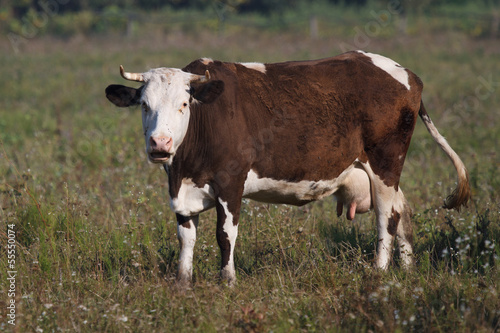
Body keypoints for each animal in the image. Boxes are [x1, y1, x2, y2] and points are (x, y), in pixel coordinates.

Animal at [104, 50, 468, 284]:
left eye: (184, 104)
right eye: (144, 105)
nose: (160, 144)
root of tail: (405, 73)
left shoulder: (230, 182)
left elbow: (225, 234)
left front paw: (227, 280)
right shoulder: (180, 189)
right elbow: (186, 237)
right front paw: (183, 282)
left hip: (385, 162)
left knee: (386, 218)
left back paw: (379, 271)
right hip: (384, 171)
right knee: (403, 213)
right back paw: (406, 271)